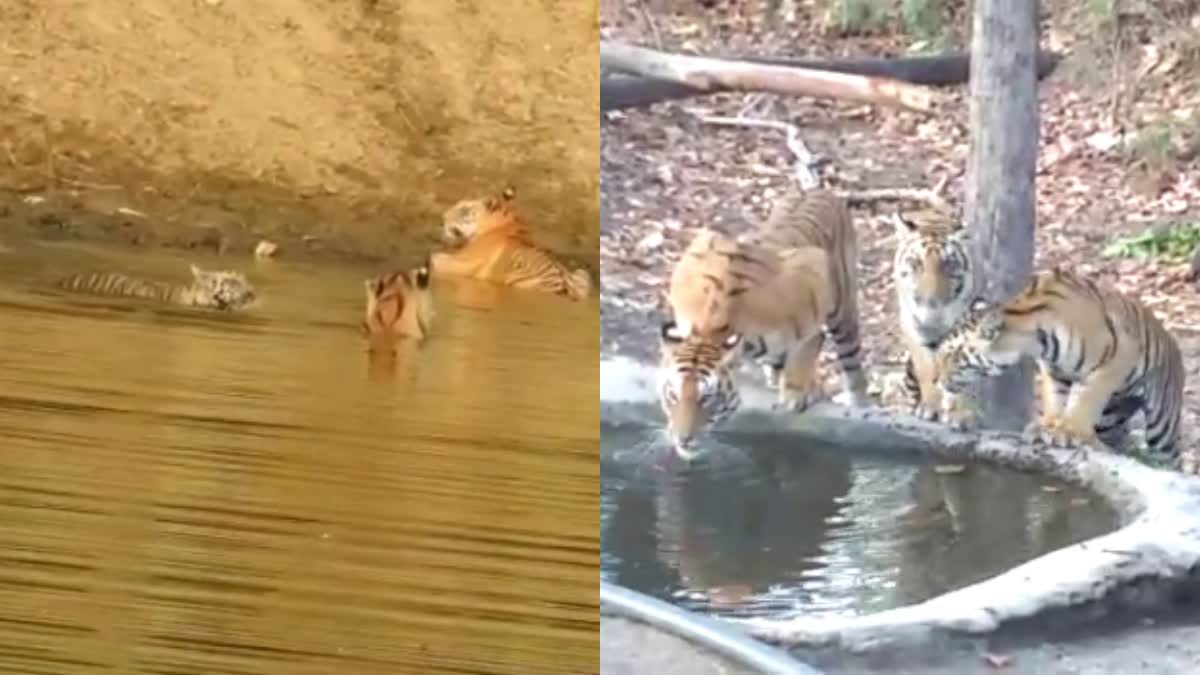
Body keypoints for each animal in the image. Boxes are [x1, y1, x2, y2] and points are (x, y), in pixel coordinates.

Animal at [657, 186, 873, 454]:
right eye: (673, 395)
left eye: (705, 398)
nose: (683, 439)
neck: (710, 328)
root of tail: (816, 189)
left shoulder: (813, 274)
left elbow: (804, 352)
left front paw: (794, 395)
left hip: (843, 310)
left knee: (852, 366)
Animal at [892, 206, 974, 425]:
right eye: (916, 264)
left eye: (948, 265)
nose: (931, 300)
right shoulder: (913, 326)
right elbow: (926, 368)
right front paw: (930, 407)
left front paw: (960, 413)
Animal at [931, 265, 1185, 458]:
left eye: (952, 355)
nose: (936, 381)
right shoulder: (1053, 369)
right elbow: (1056, 397)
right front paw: (1048, 425)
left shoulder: (1118, 356)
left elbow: (1086, 399)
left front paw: (1069, 431)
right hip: (1110, 419)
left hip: (1162, 427)